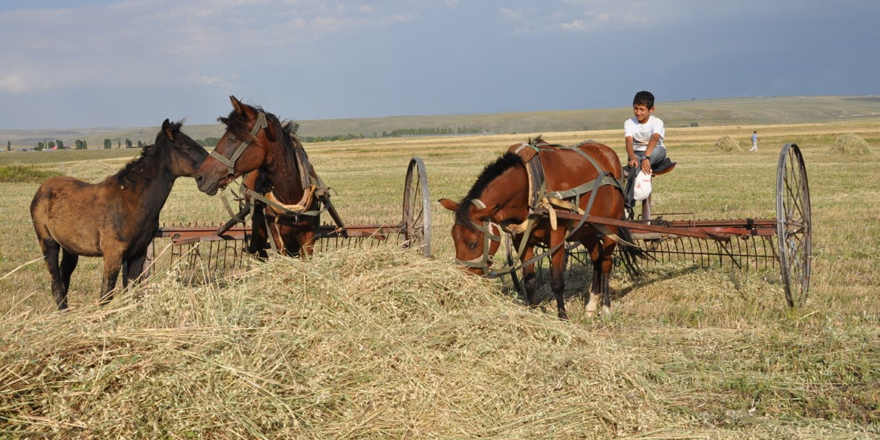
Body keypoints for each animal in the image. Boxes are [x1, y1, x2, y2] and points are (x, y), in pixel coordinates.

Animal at [29, 119, 210, 310]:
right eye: (187, 147)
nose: (206, 175)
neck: (131, 201)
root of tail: (42, 188)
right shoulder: (113, 255)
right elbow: (106, 295)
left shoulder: (138, 254)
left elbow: (134, 293)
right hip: (48, 244)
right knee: (56, 282)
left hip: (70, 249)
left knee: (64, 278)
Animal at [438, 138, 640, 320]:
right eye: (454, 238)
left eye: (472, 243)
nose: (463, 280)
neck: (530, 185)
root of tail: (609, 154)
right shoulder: (521, 239)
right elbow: (530, 281)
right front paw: (533, 312)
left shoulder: (557, 237)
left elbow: (557, 281)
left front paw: (562, 317)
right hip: (587, 228)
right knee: (597, 257)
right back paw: (591, 305)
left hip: (610, 225)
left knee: (605, 263)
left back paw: (605, 308)